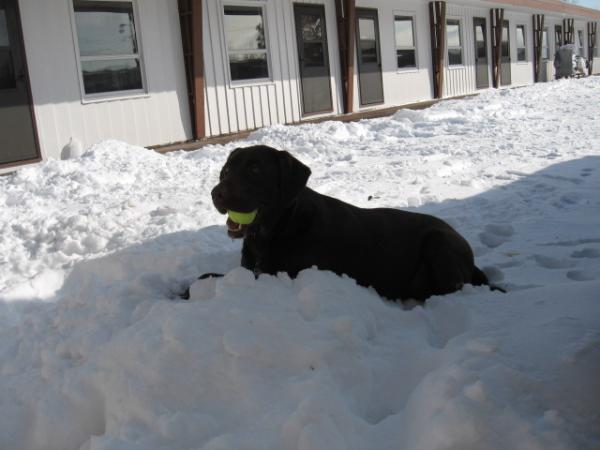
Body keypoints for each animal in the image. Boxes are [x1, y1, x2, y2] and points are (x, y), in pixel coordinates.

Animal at [206, 145, 492, 302]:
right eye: (226, 171)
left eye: (255, 170)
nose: (215, 193)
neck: (278, 230)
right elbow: (208, 275)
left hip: (438, 241)